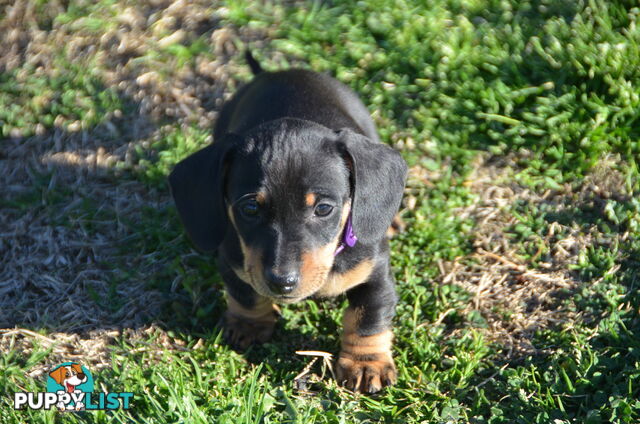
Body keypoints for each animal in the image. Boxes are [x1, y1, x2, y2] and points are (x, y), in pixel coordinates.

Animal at [169, 53, 404, 394]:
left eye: (324, 208)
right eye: (250, 207)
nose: (282, 282)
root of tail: (275, 73)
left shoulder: (373, 272)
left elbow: (367, 317)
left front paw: (365, 363)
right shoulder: (233, 258)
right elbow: (246, 293)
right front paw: (249, 324)